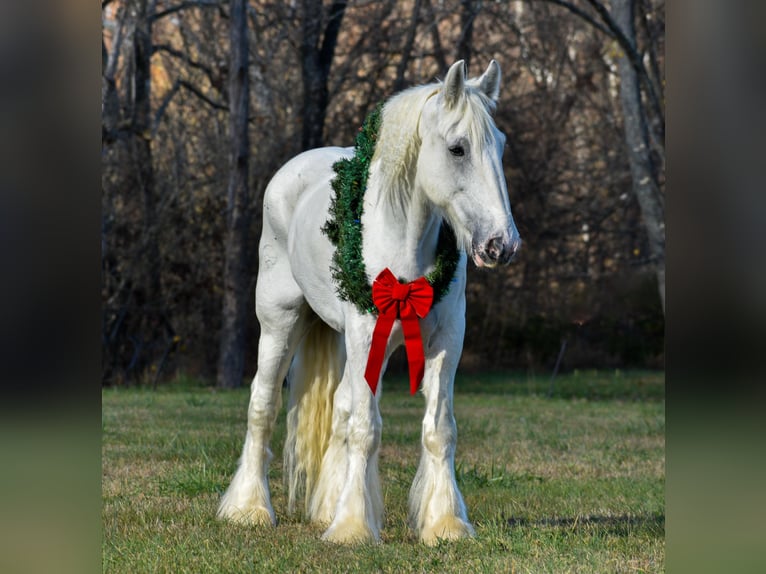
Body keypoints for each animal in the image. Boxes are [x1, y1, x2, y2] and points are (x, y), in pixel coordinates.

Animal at [219, 60, 524, 548]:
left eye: (500, 144)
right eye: (457, 149)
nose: (502, 245)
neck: (401, 244)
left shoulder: (445, 342)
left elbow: (438, 429)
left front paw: (445, 524)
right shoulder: (365, 335)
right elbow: (366, 429)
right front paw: (353, 529)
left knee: (340, 409)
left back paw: (327, 507)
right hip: (280, 324)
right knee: (262, 406)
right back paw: (248, 509)